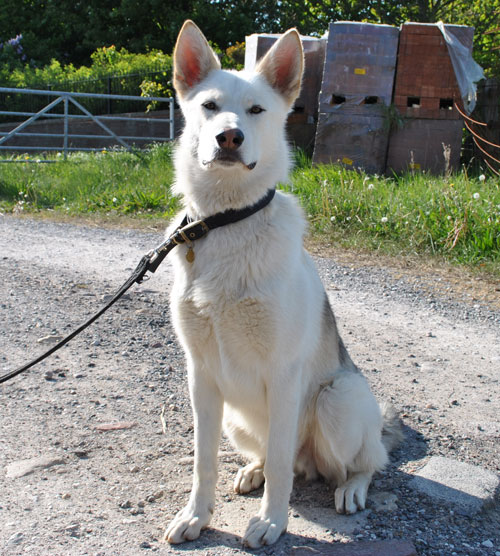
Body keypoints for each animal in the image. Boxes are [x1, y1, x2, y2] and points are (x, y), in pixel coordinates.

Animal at [165, 20, 402, 548]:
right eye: (209, 105)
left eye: (256, 111)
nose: (229, 137)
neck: (228, 221)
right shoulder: (200, 377)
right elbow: (203, 462)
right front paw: (197, 515)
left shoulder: (283, 374)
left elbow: (280, 464)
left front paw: (273, 522)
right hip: (236, 419)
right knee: (283, 461)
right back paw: (252, 471)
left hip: (337, 399)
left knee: (363, 462)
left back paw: (352, 487)